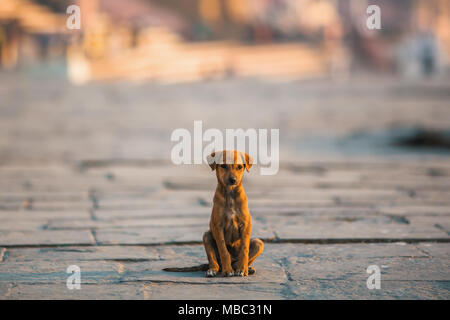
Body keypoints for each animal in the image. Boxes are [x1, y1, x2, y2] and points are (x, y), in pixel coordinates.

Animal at [204, 150, 264, 278]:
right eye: (223, 166)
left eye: (240, 167)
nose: (233, 180)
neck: (230, 194)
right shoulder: (218, 226)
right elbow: (223, 250)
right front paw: (227, 270)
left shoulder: (246, 225)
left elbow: (244, 249)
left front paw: (242, 269)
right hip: (206, 236)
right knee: (214, 262)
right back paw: (213, 270)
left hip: (258, 243)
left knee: (239, 261)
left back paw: (246, 268)